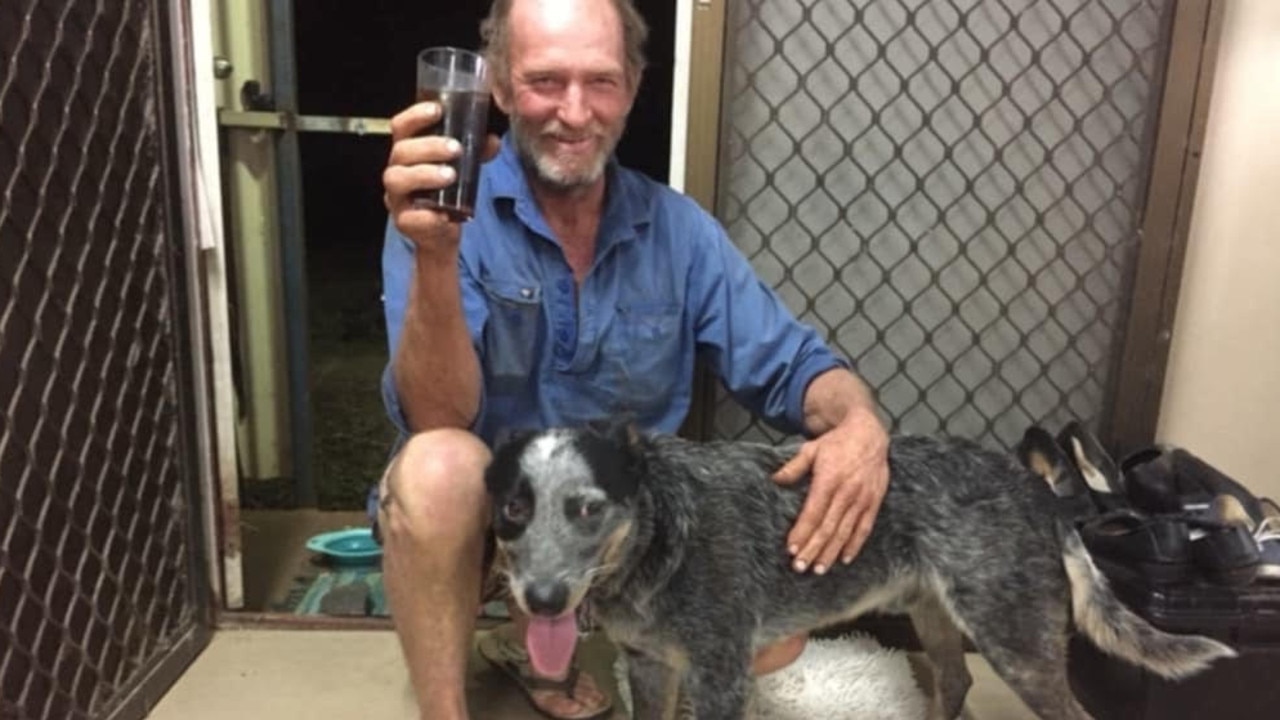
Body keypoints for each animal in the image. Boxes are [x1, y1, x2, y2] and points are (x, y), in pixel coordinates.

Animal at [483, 420, 1233, 717]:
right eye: (514, 508)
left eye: (587, 508)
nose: (541, 599)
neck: (662, 538)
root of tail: (1035, 490)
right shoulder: (648, 664)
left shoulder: (720, 675)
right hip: (936, 613)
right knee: (956, 678)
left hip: (1016, 641)